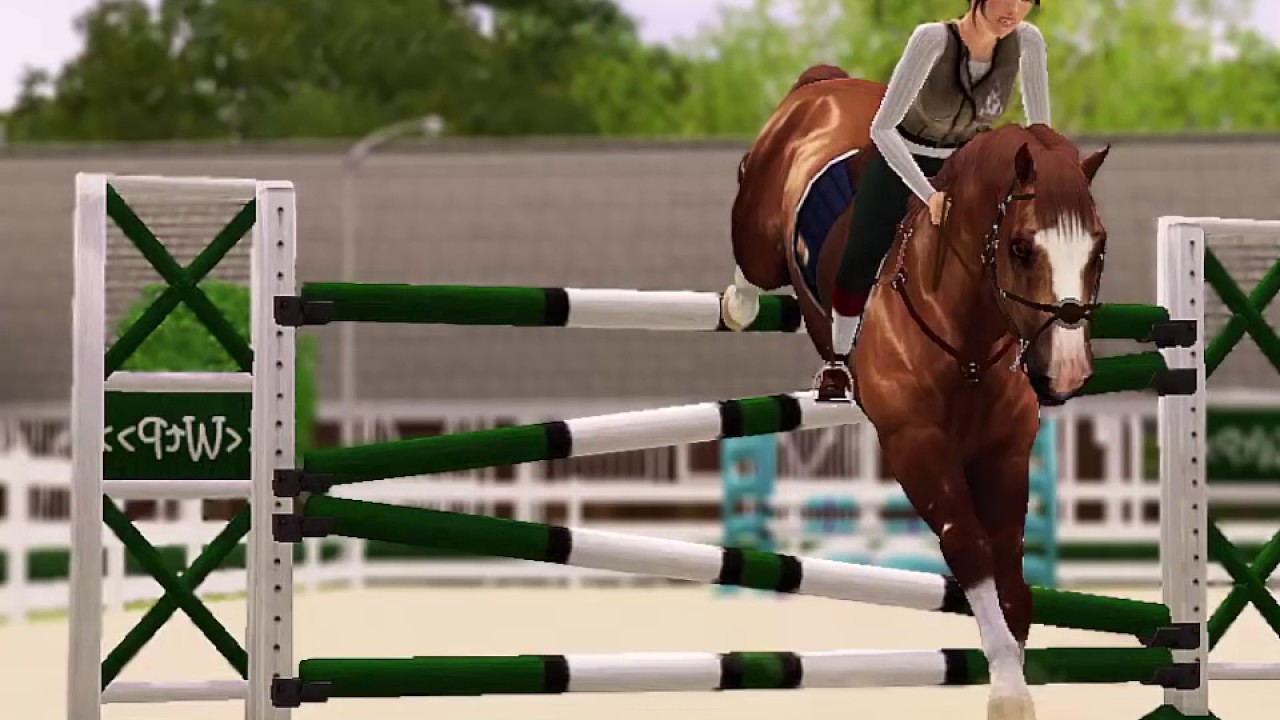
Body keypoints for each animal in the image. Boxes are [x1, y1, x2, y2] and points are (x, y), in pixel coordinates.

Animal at [725, 65, 1111, 720]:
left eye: (1099, 248)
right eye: (1021, 247)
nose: (1066, 373)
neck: (967, 340)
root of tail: (828, 83)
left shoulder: (1004, 451)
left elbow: (1011, 567)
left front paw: (1014, 661)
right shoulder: (916, 446)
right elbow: (971, 547)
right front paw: (1008, 688)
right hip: (759, 224)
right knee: (751, 265)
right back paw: (738, 304)